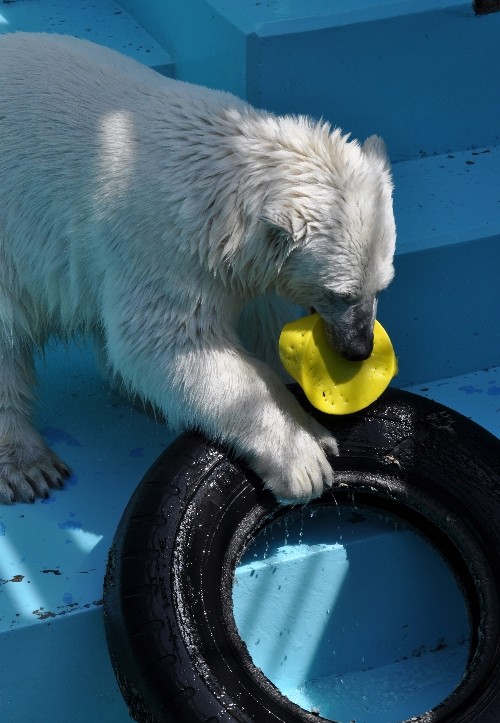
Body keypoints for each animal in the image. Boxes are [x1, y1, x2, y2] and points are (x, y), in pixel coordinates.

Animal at [0, 32, 396, 504]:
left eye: (382, 286)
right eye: (340, 293)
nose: (360, 347)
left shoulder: (239, 270)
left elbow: (261, 327)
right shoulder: (161, 248)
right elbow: (169, 345)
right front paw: (304, 462)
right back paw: (28, 465)